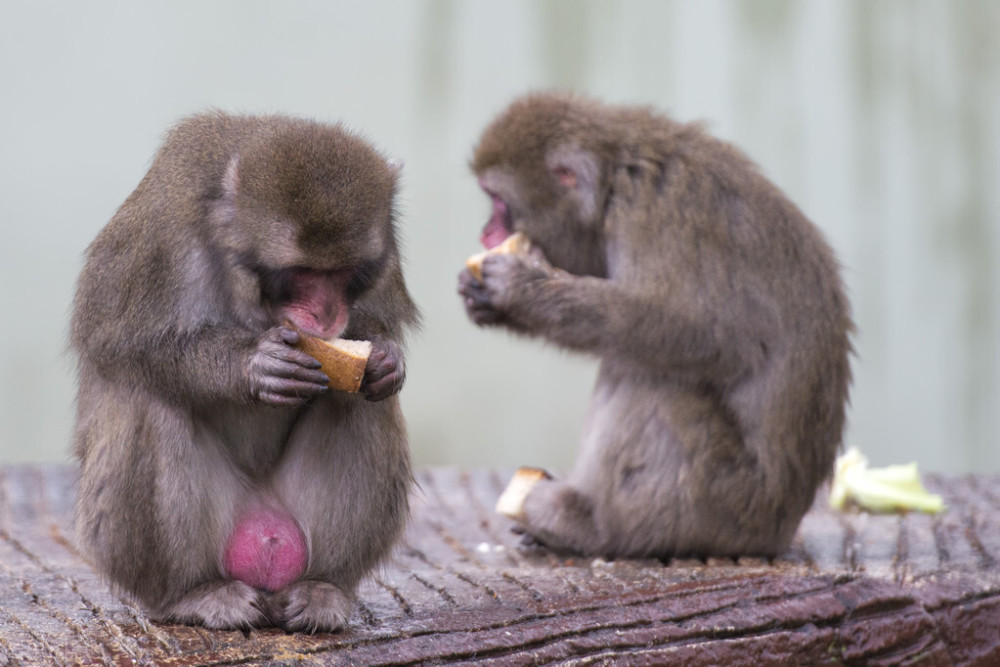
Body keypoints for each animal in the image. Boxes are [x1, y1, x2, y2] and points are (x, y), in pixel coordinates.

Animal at [68, 112, 416, 636]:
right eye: (303, 272)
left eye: (343, 272)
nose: (327, 314)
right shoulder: (159, 239)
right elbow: (120, 342)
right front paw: (253, 366)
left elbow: (380, 341)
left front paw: (386, 361)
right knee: (152, 401)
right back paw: (192, 592)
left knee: (357, 401)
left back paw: (322, 587)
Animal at [460, 94, 852, 560]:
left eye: (497, 200)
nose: (486, 233)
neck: (615, 179)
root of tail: (780, 529)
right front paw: (486, 297)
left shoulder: (657, 213)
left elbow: (706, 334)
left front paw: (522, 289)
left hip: (723, 502)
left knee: (655, 379)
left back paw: (589, 525)